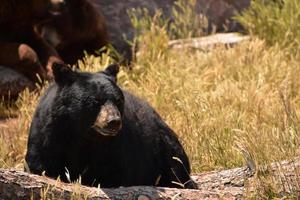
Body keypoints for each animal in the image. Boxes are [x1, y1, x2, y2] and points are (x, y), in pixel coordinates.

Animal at [24, 63, 196, 189]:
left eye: (118, 100)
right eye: (95, 101)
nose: (114, 121)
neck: (81, 135)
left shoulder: (115, 147)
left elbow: (113, 172)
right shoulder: (49, 133)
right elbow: (39, 163)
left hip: (164, 146)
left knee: (176, 167)